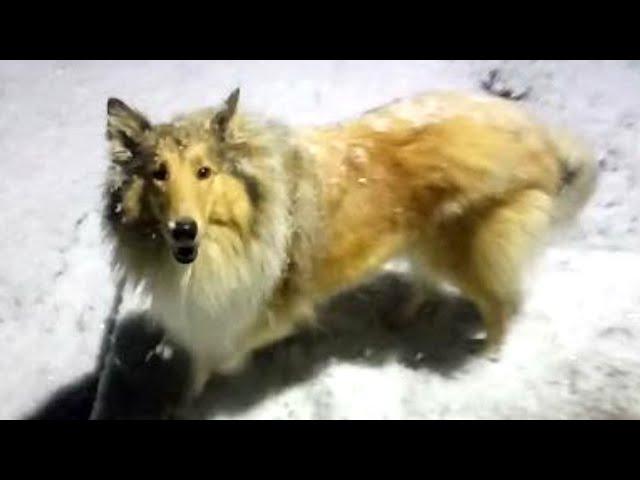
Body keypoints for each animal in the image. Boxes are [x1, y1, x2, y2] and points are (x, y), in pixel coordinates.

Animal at [102, 88, 596, 396]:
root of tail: (539, 134)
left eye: (205, 172)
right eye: (158, 173)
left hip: (465, 248)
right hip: (426, 240)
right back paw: (400, 317)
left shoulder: (266, 310)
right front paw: (183, 398)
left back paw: (489, 360)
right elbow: (199, 362)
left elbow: (220, 354)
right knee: (430, 282)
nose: (183, 230)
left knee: (498, 306)